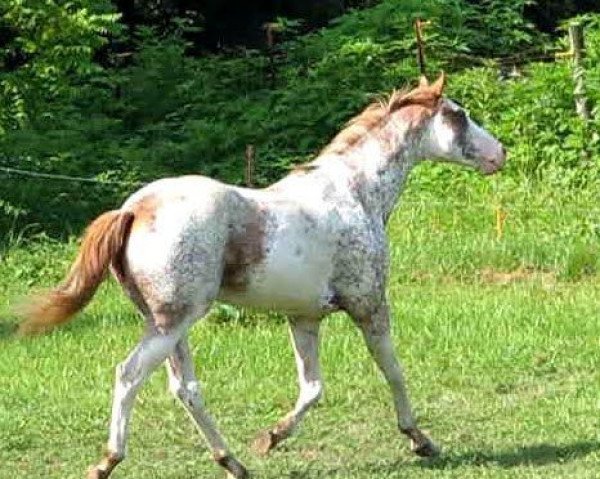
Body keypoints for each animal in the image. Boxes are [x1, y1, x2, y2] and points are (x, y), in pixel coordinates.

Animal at [19, 73, 506, 478]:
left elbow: (312, 388)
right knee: (129, 375)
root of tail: (134, 209)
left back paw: (233, 461)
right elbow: (393, 371)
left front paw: (270, 438)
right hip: (170, 323)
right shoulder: (369, 306)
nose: (499, 153)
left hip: (170, 326)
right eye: (459, 114)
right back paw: (107, 461)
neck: (356, 193)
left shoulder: (304, 318)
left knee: (185, 388)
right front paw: (420, 440)